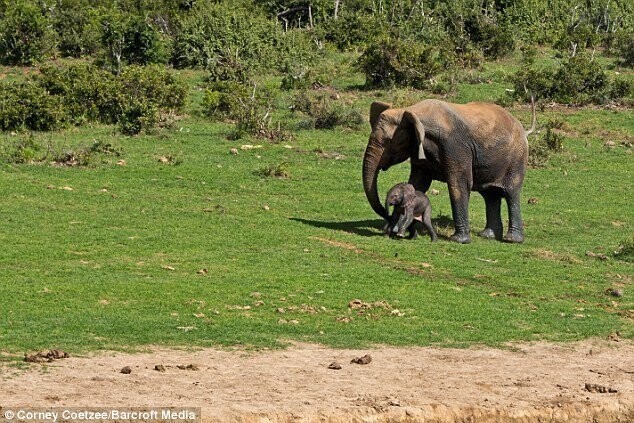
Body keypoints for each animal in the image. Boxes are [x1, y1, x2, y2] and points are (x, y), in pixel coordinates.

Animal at [360, 99, 532, 243]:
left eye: (389, 141)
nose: (388, 218)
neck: (412, 111)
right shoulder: (419, 148)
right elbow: (418, 183)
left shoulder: (455, 148)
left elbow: (459, 185)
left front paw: (459, 240)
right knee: (490, 196)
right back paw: (487, 236)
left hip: (517, 158)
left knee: (511, 193)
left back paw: (512, 240)